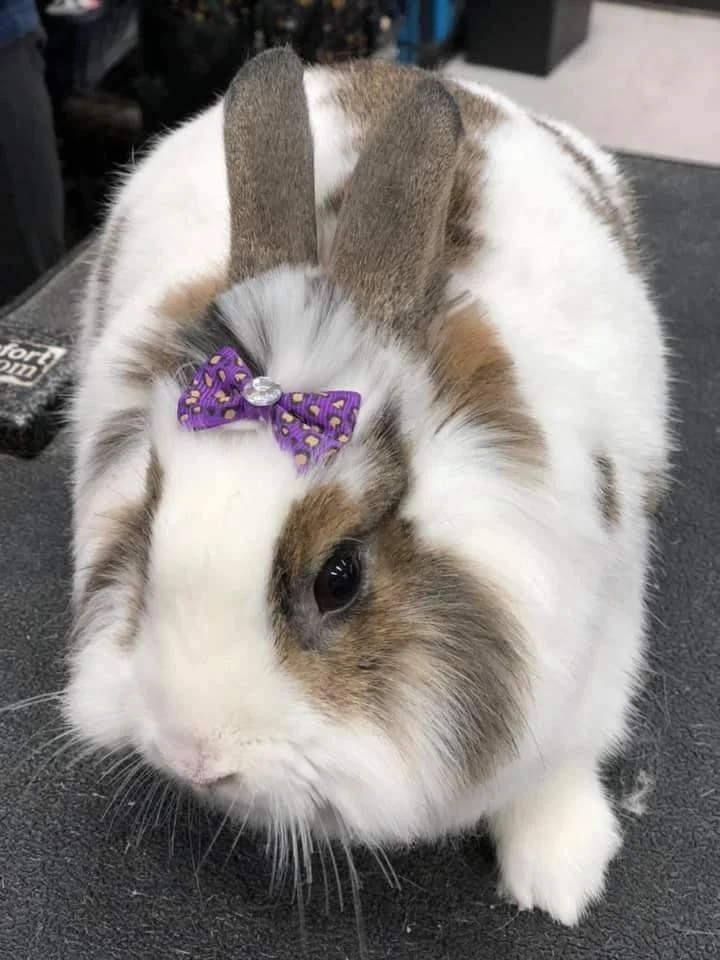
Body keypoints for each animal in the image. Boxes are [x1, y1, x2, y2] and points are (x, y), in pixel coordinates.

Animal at [67, 48, 670, 927]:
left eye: (339, 577)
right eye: (146, 528)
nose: (194, 755)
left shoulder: (599, 652)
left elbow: (559, 769)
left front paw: (561, 877)